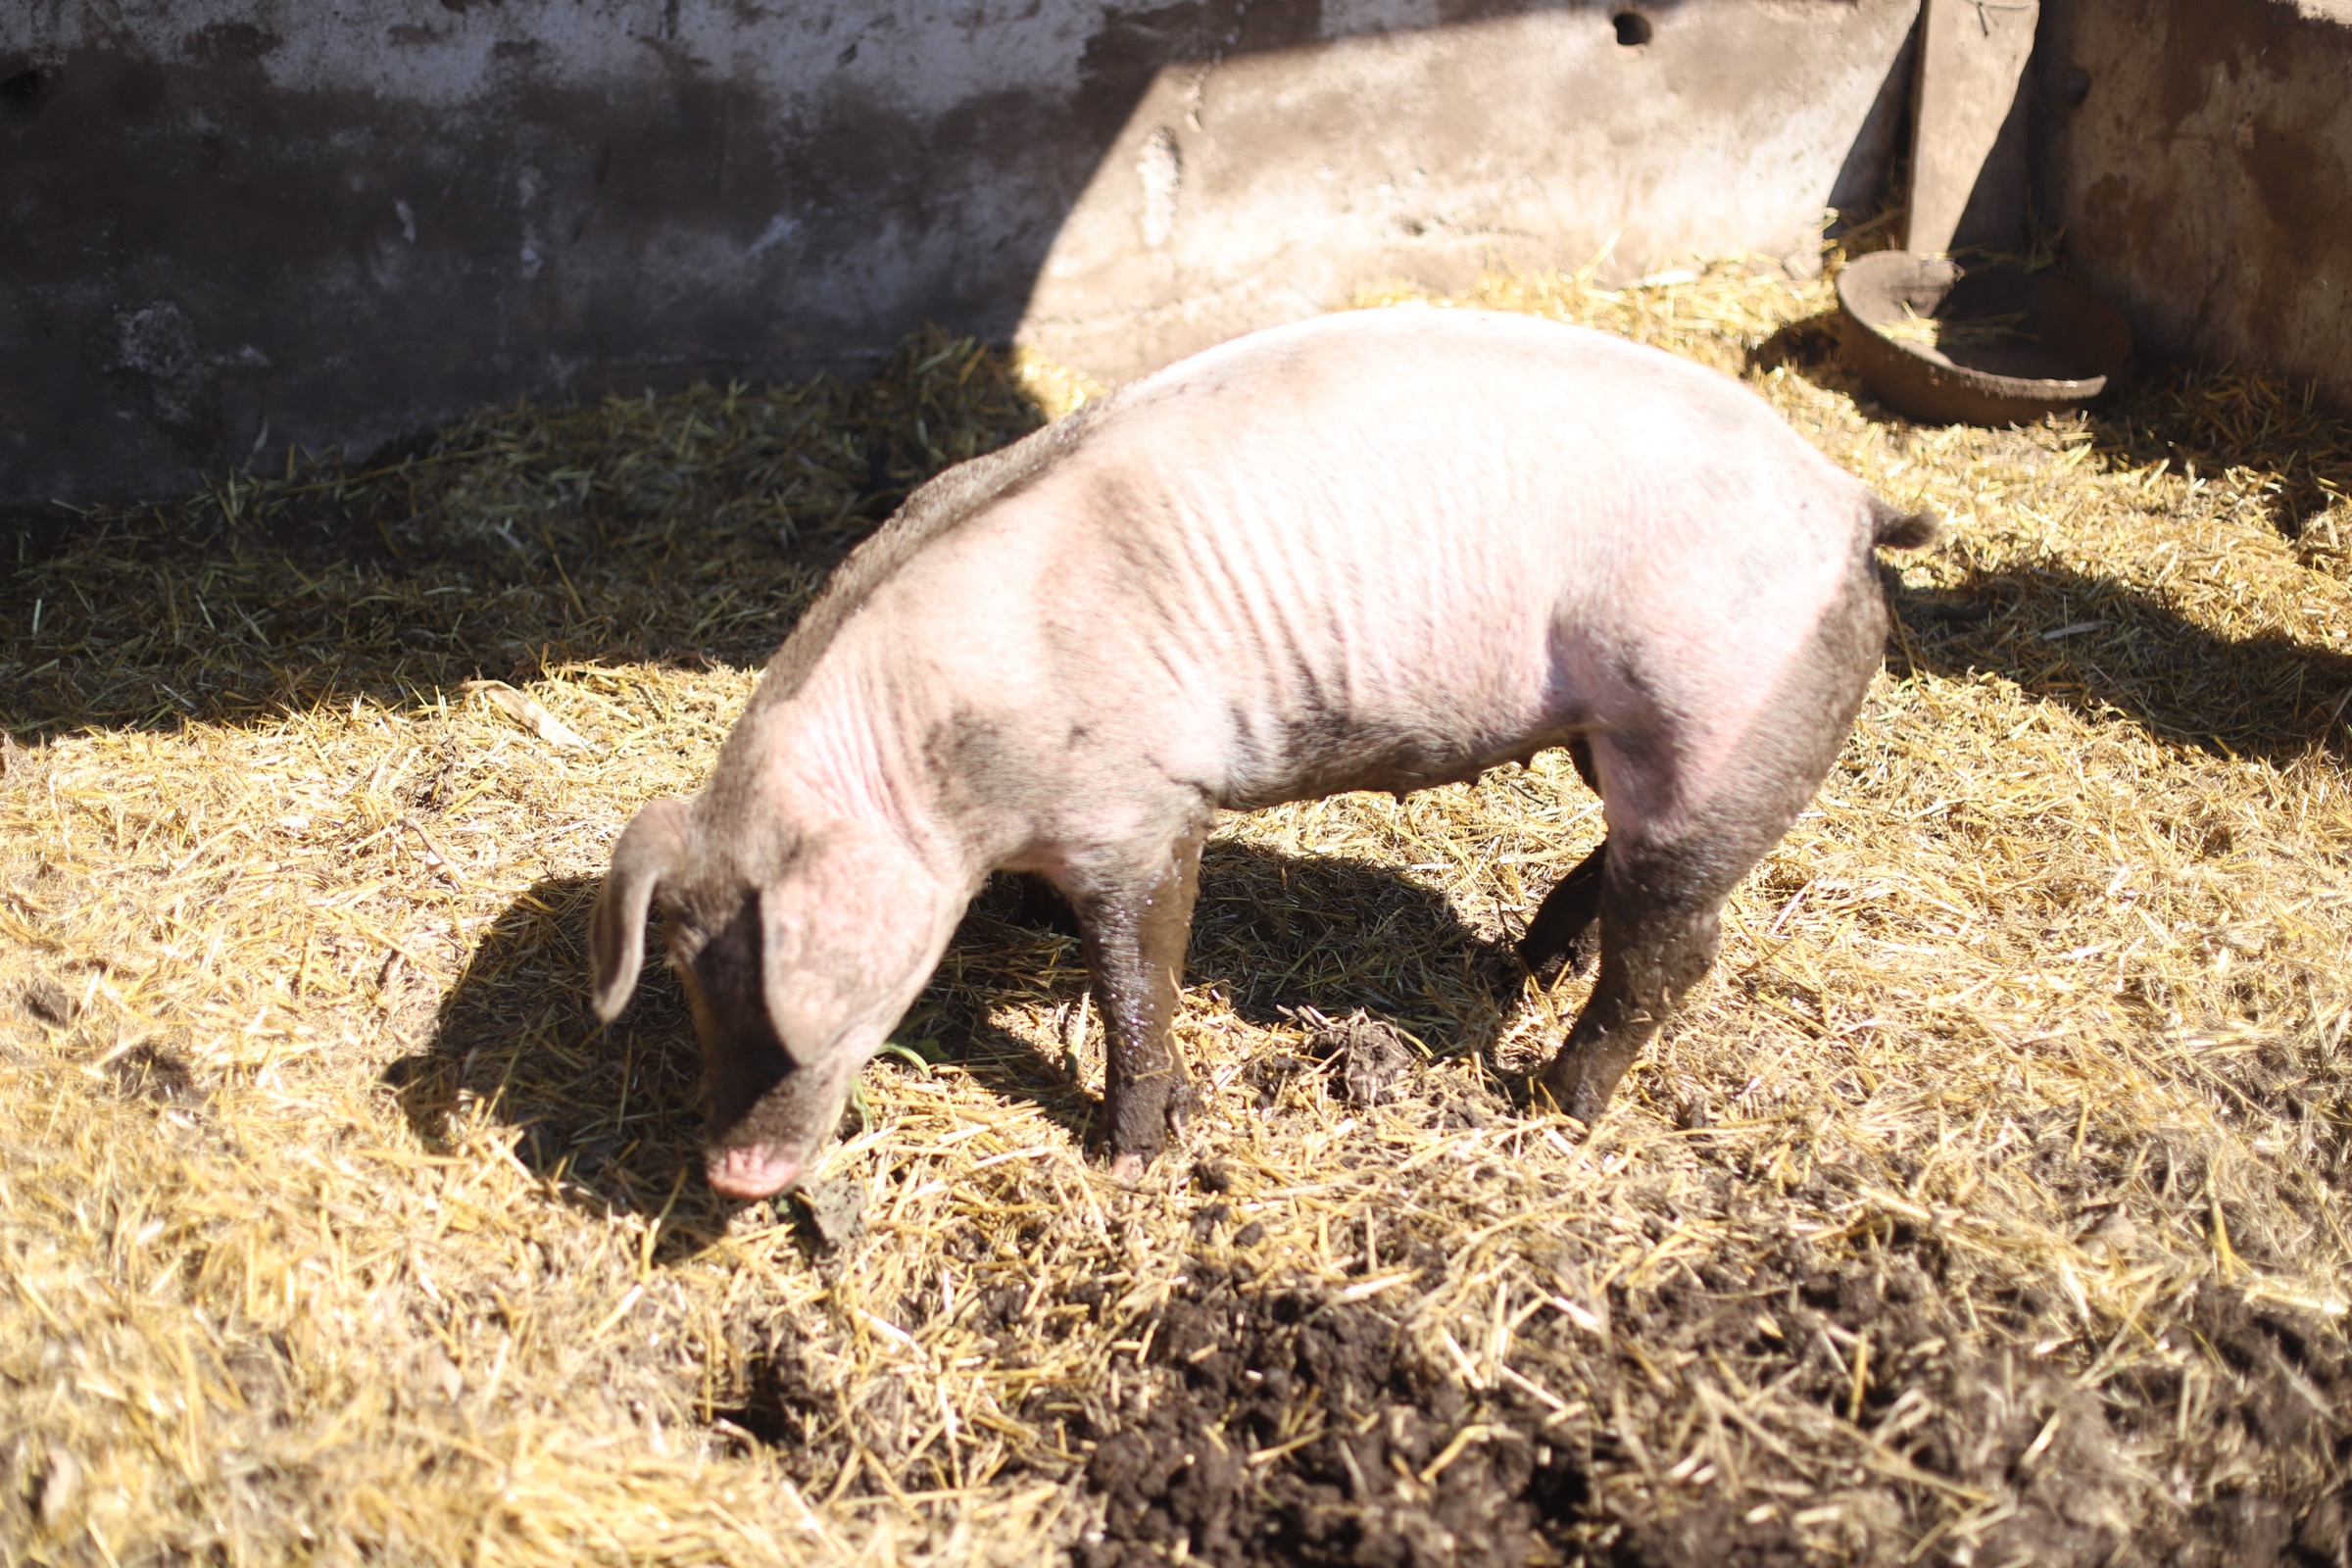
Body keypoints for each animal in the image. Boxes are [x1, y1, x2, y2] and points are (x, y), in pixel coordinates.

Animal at [588, 305, 1929, 1194]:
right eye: (687, 979)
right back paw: (1521, 966)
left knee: (1677, 949)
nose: (730, 1172)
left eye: (795, 991)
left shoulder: (1139, 803)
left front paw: (1130, 1157)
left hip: (1716, 724)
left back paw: (1548, 1101)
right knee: (1620, 873)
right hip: (1625, 740)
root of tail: (1850, 503)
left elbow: (1138, 980)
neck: (937, 748)